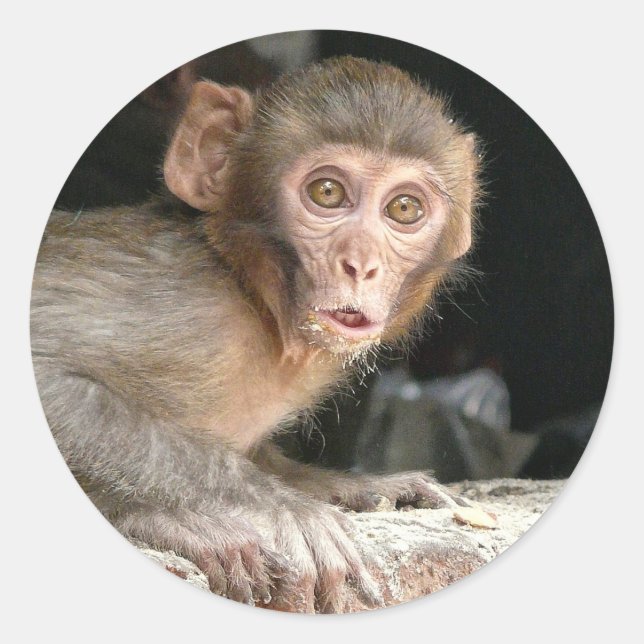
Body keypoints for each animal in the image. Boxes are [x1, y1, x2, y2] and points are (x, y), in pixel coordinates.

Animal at [31, 56, 480, 613]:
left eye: (403, 209)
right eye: (327, 193)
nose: (362, 264)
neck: (256, 301)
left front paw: (352, 486)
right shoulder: (188, 307)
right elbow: (49, 374)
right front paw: (279, 507)